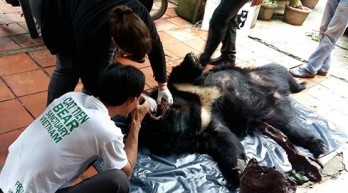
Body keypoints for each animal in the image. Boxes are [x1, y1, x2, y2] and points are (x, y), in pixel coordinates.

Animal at [139, 52, 326, 187]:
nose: (148, 117)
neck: (195, 108)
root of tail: (279, 92)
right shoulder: (210, 127)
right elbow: (227, 142)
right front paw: (238, 171)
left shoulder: (187, 90)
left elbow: (180, 77)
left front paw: (191, 60)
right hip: (273, 112)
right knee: (291, 125)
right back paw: (317, 143)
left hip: (267, 72)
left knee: (283, 74)